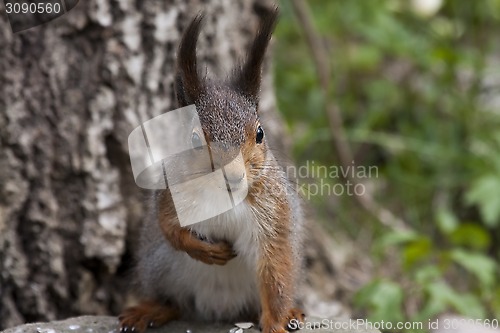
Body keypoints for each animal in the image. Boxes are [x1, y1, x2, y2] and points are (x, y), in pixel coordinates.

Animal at [119, 7, 304, 332]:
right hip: (159, 266)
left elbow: (275, 273)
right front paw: (205, 250)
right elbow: (169, 228)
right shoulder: (169, 195)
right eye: (194, 139)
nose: (234, 175)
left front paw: (276, 323)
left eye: (260, 133)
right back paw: (150, 310)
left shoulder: (274, 214)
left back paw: (292, 313)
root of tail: (218, 310)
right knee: (173, 302)